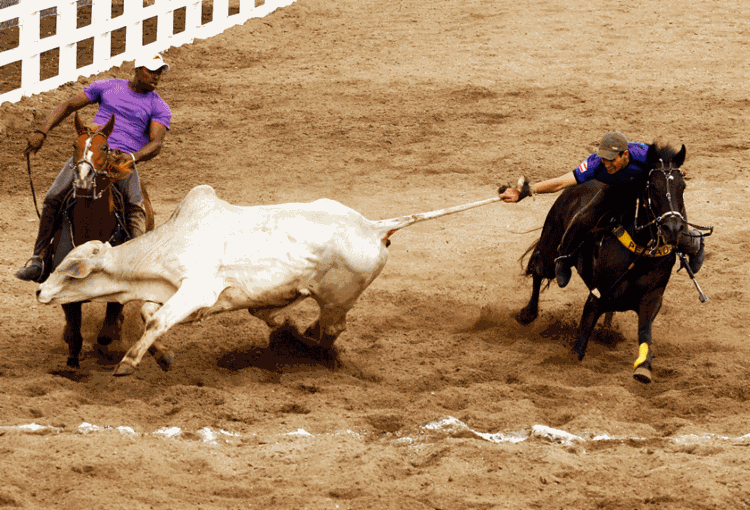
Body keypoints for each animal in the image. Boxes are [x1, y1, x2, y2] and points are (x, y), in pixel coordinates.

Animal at [50, 111, 155, 368]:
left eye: (105, 147)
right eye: (74, 144)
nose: (83, 180)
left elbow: (106, 332)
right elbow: (74, 332)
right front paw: (72, 359)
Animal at [516, 142, 692, 382]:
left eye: (682, 186)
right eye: (653, 188)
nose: (672, 229)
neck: (640, 250)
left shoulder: (652, 298)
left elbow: (645, 332)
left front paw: (643, 367)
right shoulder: (597, 295)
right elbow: (581, 339)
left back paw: (607, 331)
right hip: (550, 249)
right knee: (538, 271)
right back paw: (528, 313)